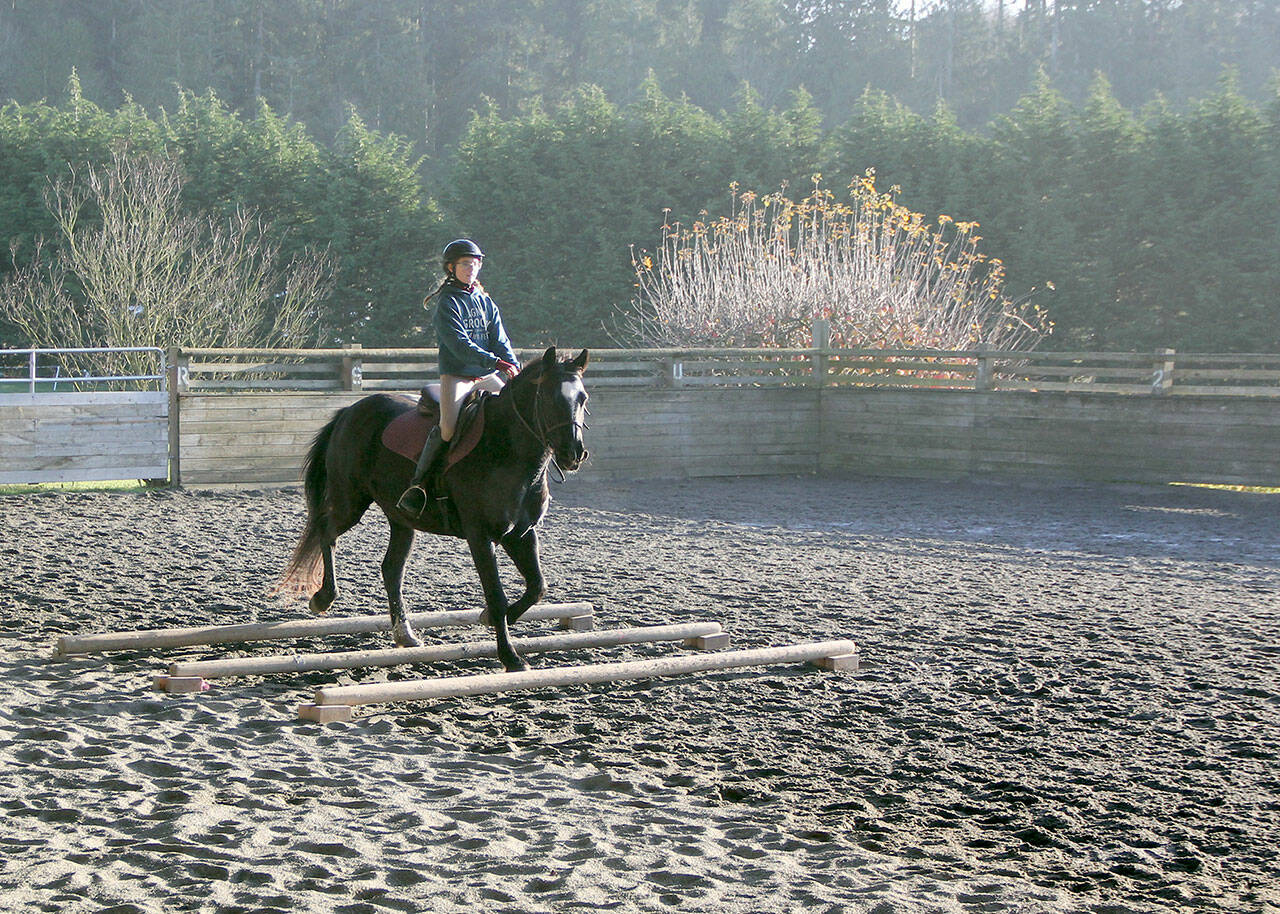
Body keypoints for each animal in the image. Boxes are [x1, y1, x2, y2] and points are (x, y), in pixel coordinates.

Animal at [281, 347, 589, 673]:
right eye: (549, 397)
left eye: (583, 398)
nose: (574, 454)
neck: (506, 450)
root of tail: (350, 411)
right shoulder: (480, 536)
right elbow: (497, 596)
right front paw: (510, 657)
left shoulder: (521, 533)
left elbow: (537, 587)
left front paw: (492, 620)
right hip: (350, 500)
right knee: (327, 531)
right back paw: (323, 598)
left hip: (401, 518)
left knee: (391, 569)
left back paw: (405, 634)